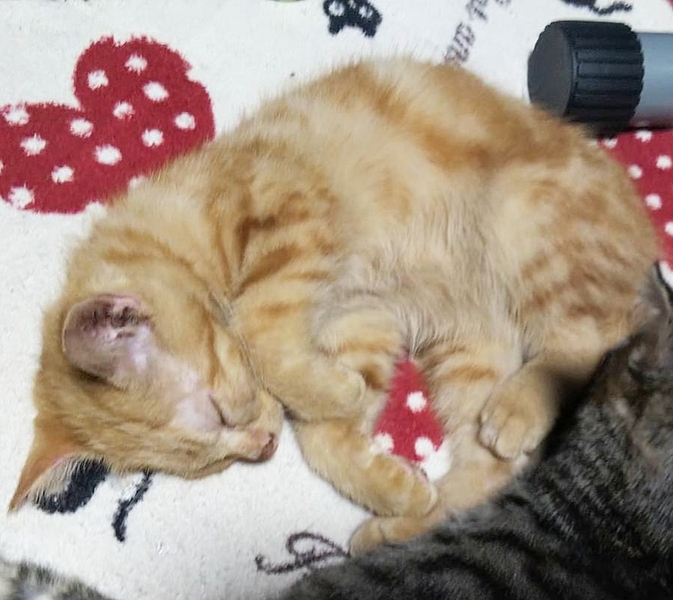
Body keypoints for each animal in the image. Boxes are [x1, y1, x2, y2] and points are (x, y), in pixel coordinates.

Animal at [9, 57, 658, 553]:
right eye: (206, 464)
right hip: (470, 348)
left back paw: (519, 408)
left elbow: (256, 329)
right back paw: (408, 524)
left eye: (219, 414)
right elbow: (325, 439)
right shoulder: (363, 320)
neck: (189, 225)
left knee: (587, 338)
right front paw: (388, 479)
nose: (263, 449)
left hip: (529, 221)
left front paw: (333, 395)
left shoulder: (292, 215)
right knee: (494, 466)